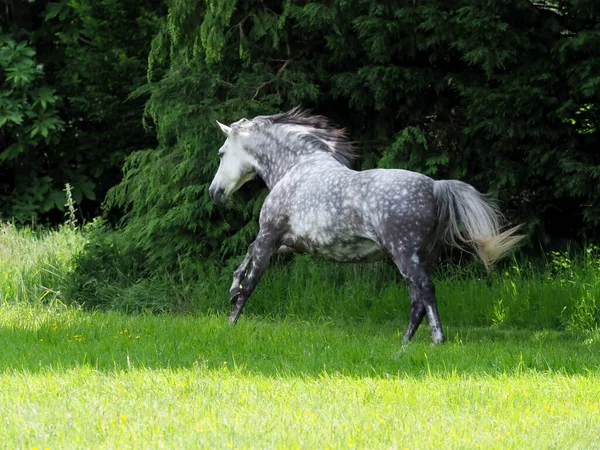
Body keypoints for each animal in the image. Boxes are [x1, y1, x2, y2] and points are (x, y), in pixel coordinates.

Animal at [209, 108, 524, 342]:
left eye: (222, 153)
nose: (215, 193)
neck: (295, 168)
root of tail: (435, 187)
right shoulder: (287, 242)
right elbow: (248, 255)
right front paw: (232, 288)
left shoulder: (270, 235)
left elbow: (252, 281)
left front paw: (231, 319)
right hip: (423, 256)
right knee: (417, 299)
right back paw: (405, 343)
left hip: (403, 254)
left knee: (424, 291)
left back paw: (434, 341)